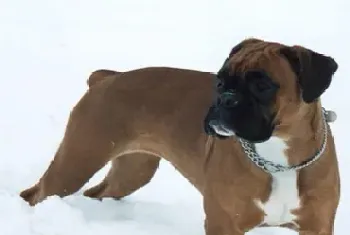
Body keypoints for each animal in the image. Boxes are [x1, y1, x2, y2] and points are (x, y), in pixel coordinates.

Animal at [19, 37, 340, 234]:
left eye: (263, 85)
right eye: (220, 80)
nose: (225, 99)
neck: (279, 161)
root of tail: (108, 77)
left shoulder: (317, 226)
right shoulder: (223, 223)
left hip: (131, 172)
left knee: (98, 192)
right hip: (76, 162)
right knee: (35, 194)